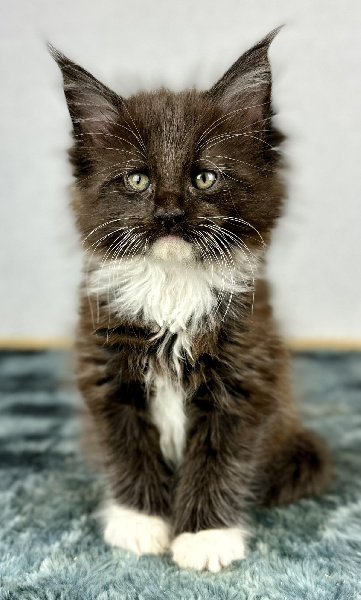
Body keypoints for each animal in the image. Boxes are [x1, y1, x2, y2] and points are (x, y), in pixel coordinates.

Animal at [50, 29, 332, 572]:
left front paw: (204, 536)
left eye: (204, 178)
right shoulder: (106, 368)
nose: (169, 214)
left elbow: (218, 458)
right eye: (137, 179)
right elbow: (129, 448)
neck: (171, 289)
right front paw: (141, 522)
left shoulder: (245, 372)